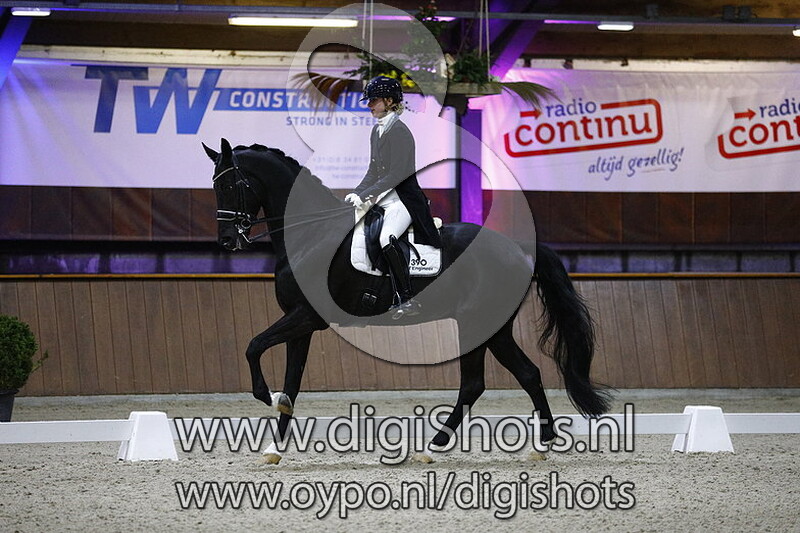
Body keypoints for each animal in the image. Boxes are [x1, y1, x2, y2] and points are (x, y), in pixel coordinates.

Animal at [203, 138, 610, 463]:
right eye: (214, 186)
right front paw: (275, 445)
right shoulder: (300, 323)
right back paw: (530, 444)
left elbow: (253, 346)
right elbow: (291, 383)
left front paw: (266, 397)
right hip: (489, 328)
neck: (310, 234)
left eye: (233, 185)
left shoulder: (306, 316)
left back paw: (441, 447)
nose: (227, 241)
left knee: (485, 382)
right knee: (515, 376)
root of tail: (517, 247)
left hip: (480, 324)